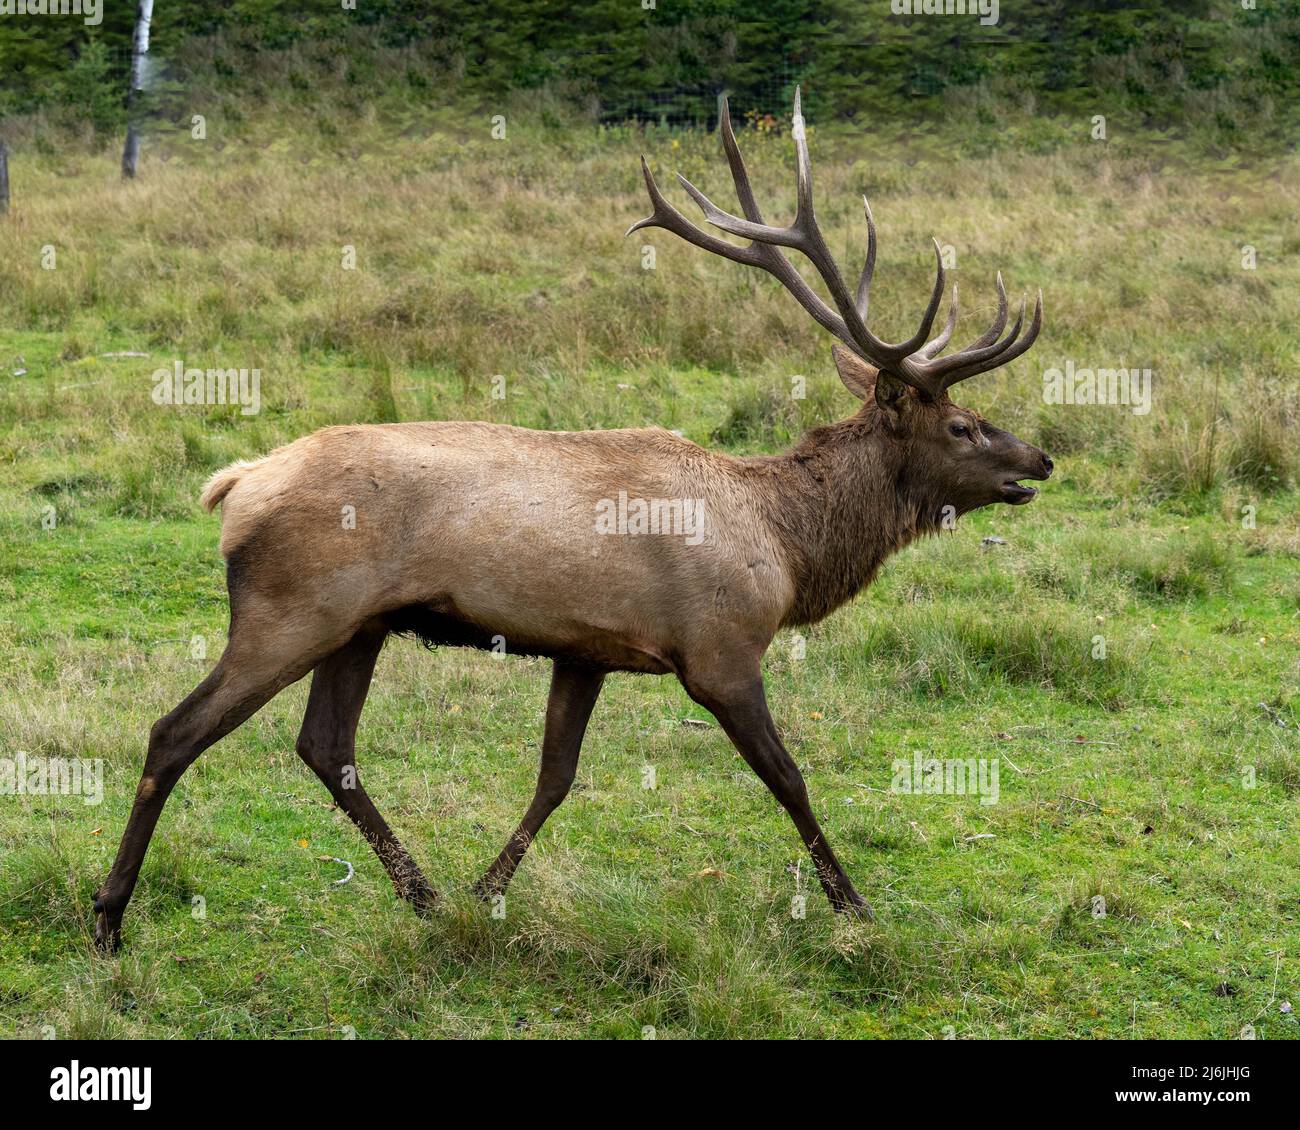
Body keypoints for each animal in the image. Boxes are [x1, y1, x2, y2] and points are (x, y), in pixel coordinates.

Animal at [94, 90, 1050, 951]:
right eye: (963, 426)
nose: (1039, 461)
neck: (788, 546)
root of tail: (235, 485)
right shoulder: (721, 650)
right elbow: (789, 778)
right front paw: (853, 905)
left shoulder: (587, 650)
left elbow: (555, 778)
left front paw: (486, 893)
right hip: (290, 610)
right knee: (175, 732)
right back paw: (109, 917)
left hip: (358, 626)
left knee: (326, 747)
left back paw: (425, 896)